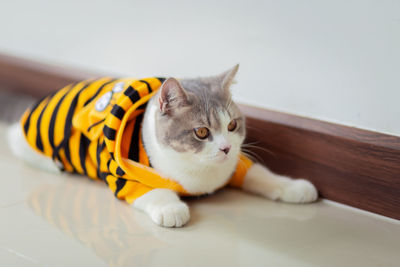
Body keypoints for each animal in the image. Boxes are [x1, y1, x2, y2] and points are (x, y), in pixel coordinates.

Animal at [7, 65, 318, 228]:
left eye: (232, 126)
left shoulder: (236, 165)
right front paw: (172, 209)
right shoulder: (124, 175)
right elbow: (154, 191)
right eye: (202, 132)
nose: (226, 149)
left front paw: (295, 187)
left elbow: (260, 174)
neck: (200, 173)